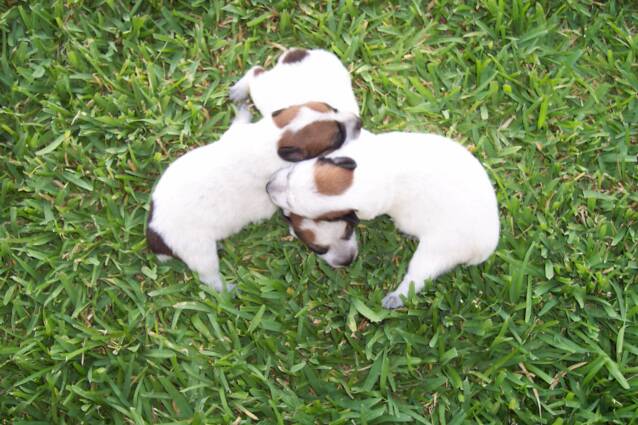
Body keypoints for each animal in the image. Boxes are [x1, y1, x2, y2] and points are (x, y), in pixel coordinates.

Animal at [147, 102, 362, 292]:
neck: (273, 138)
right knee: (208, 277)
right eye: (338, 137)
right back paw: (227, 288)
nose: (359, 121)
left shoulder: (237, 132)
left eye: (333, 108)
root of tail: (155, 236)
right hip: (200, 251)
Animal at [264, 131, 500, 306]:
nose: (267, 186)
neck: (367, 173)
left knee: (418, 277)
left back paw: (396, 297)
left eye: (293, 206)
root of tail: (484, 250)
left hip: (436, 250)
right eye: (290, 174)